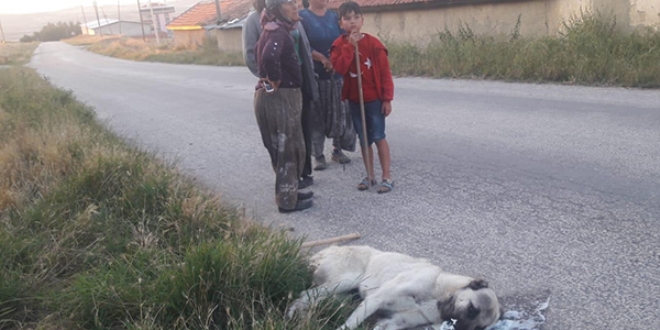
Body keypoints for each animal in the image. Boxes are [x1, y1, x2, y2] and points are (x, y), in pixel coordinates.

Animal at [288, 245, 500, 330]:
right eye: (472, 309)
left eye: (480, 328)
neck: (436, 295)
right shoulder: (375, 299)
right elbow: (349, 325)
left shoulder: (393, 322)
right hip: (346, 281)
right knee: (305, 293)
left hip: (341, 294)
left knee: (311, 297)